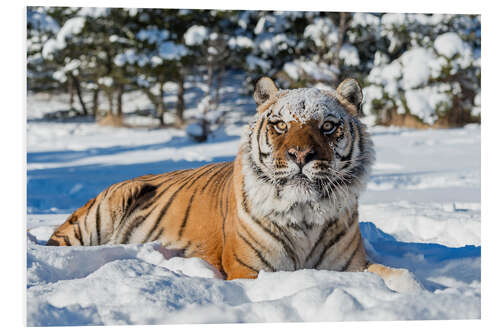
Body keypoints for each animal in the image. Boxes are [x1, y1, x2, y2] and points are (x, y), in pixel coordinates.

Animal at [47, 76, 414, 290]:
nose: (300, 155)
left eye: (327, 126)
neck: (305, 214)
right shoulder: (250, 270)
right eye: (280, 125)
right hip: (99, 214)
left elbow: (405, 277)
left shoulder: (351, 265)